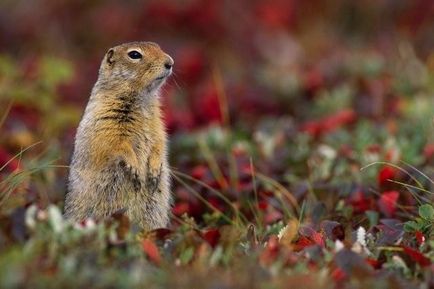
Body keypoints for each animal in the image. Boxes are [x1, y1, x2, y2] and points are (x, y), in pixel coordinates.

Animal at [64, 41, 173, 230]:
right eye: (134, 55)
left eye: (158, 46)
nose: (170, 62)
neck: (142, 99)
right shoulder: (107, 120)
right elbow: (116, 143)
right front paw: (135, 169)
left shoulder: (157, 125)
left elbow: (159, 142)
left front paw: (154, 169)